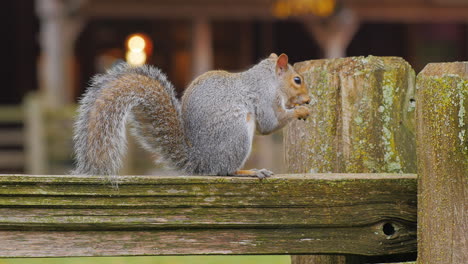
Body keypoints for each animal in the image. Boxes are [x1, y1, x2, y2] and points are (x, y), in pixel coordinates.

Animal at [72, 52, 310, 178]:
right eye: (297, 80)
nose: (308, 99)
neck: (269, 80)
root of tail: (202, 161)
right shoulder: (264, 97)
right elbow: (271, 123)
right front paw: (300, 109)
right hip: (236, 134)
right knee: (225, 171)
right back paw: (250, 172)